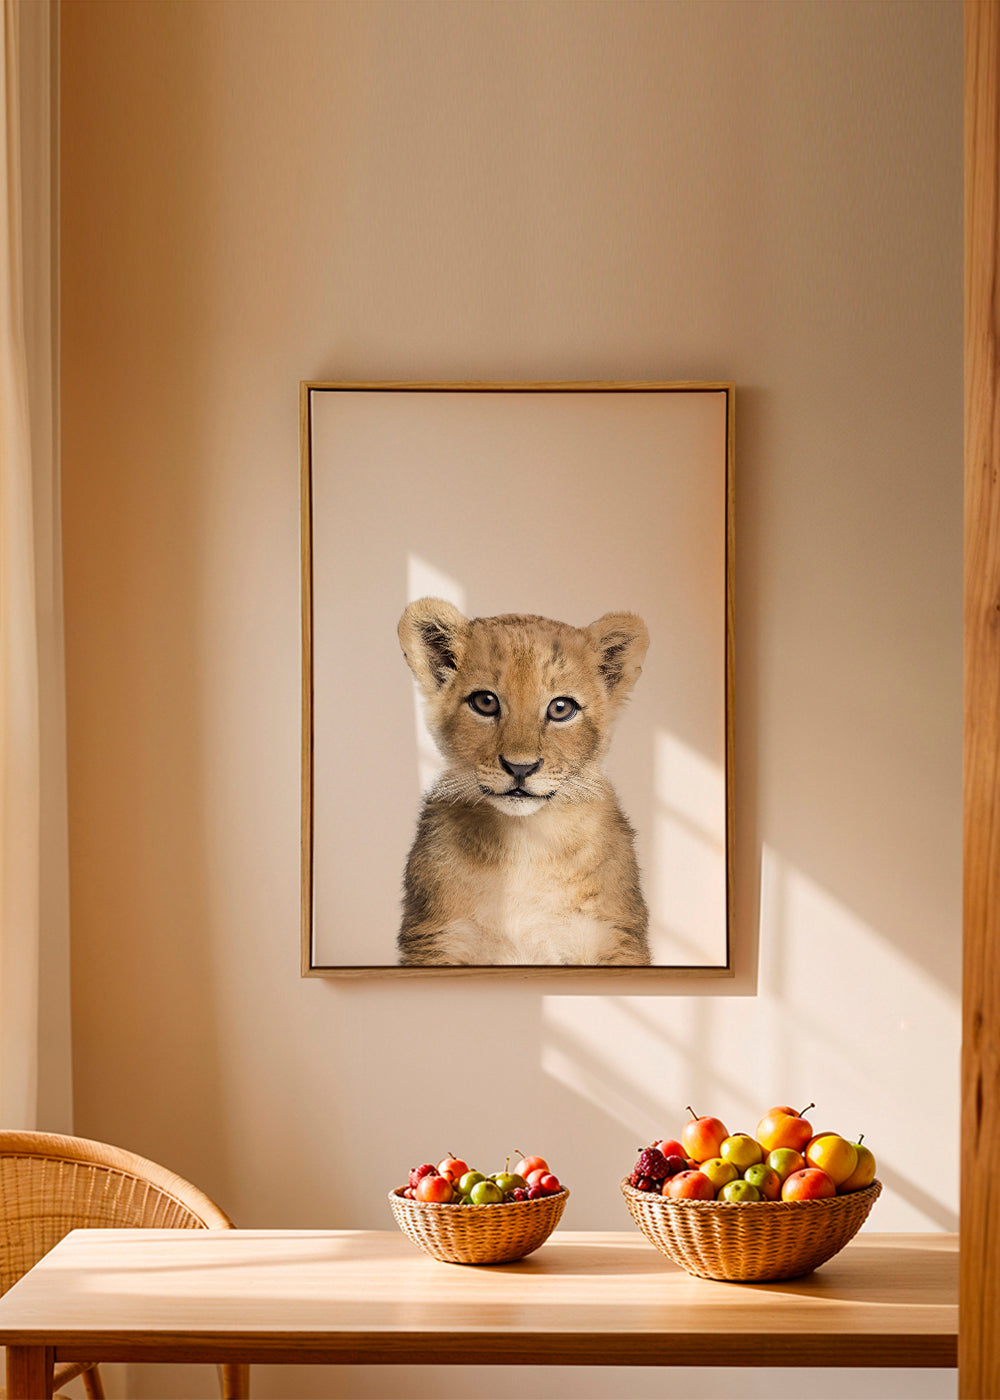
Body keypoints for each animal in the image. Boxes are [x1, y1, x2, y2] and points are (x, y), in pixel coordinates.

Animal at [396, 598, 651, 966]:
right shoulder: (438, 939)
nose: (520, 768)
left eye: (561, 708)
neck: (526, 841)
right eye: (485, 702)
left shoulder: (613, 937)